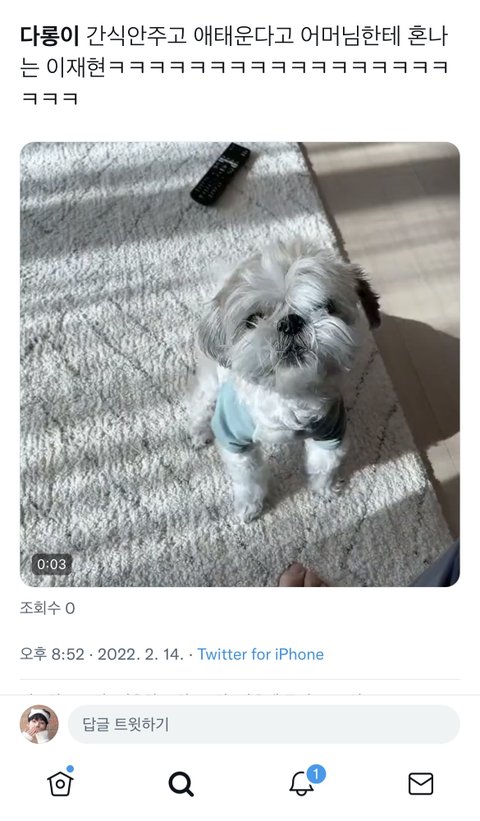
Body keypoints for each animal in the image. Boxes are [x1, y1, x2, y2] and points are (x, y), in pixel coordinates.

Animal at [189, 237, 380, 522]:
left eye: (327, 307)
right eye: (254, 319)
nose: (290, 322)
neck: (288, 395)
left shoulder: (330, 434)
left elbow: (323, 467)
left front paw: (325, 490)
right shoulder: (236, 442)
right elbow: (248, 479)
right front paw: (249, 506)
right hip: (212, 380)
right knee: (201, 401)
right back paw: (200, 430)